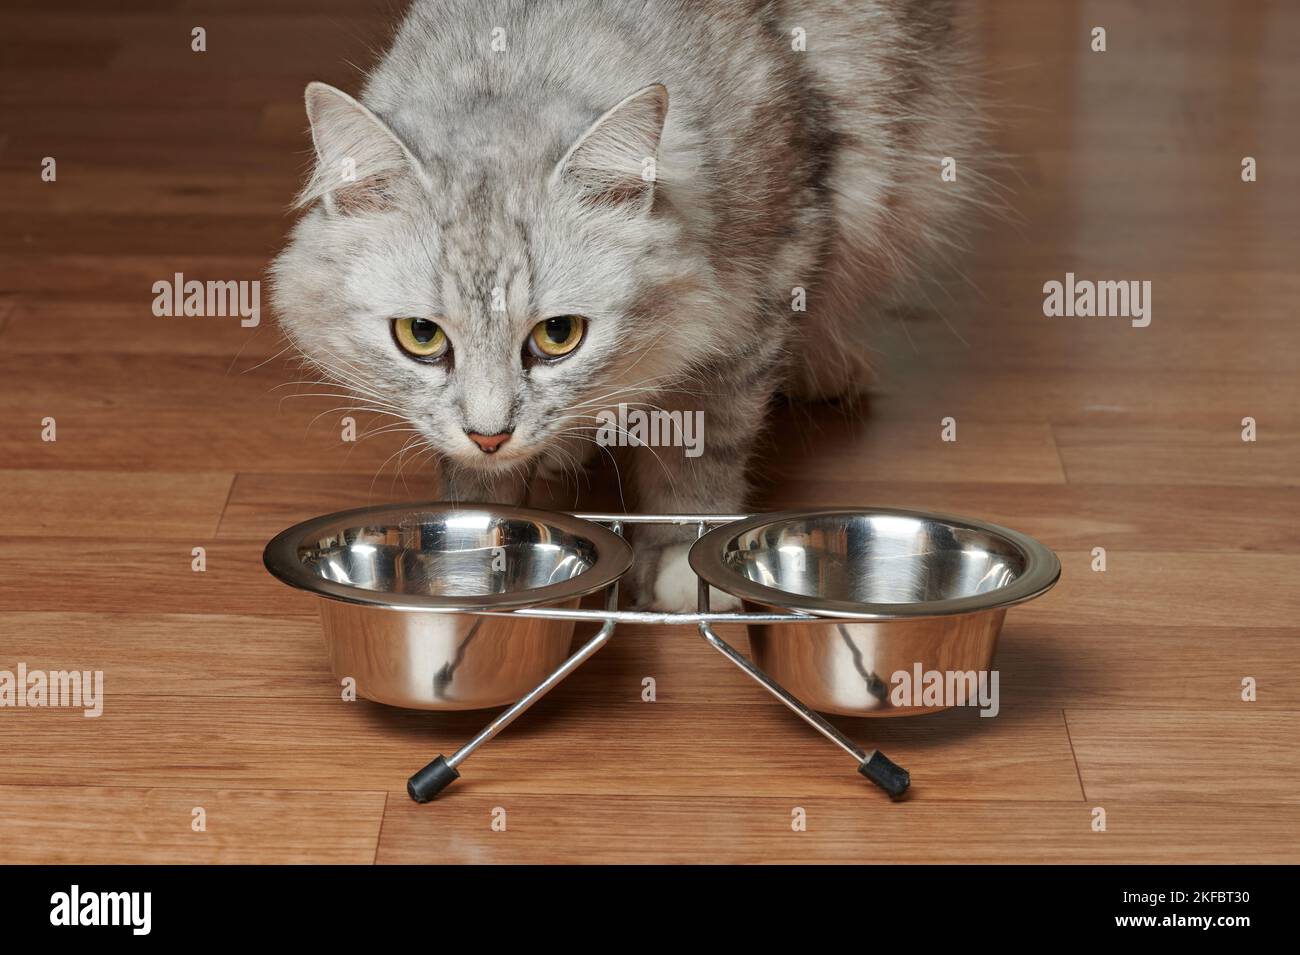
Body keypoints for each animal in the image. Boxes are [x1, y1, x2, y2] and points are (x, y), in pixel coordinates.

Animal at [274, 0, 982, 613]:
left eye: (559, 334)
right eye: (421, 335)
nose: (491, 435)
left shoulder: (761, 294)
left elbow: (700, 457)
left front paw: (682, 569)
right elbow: (478, 484)